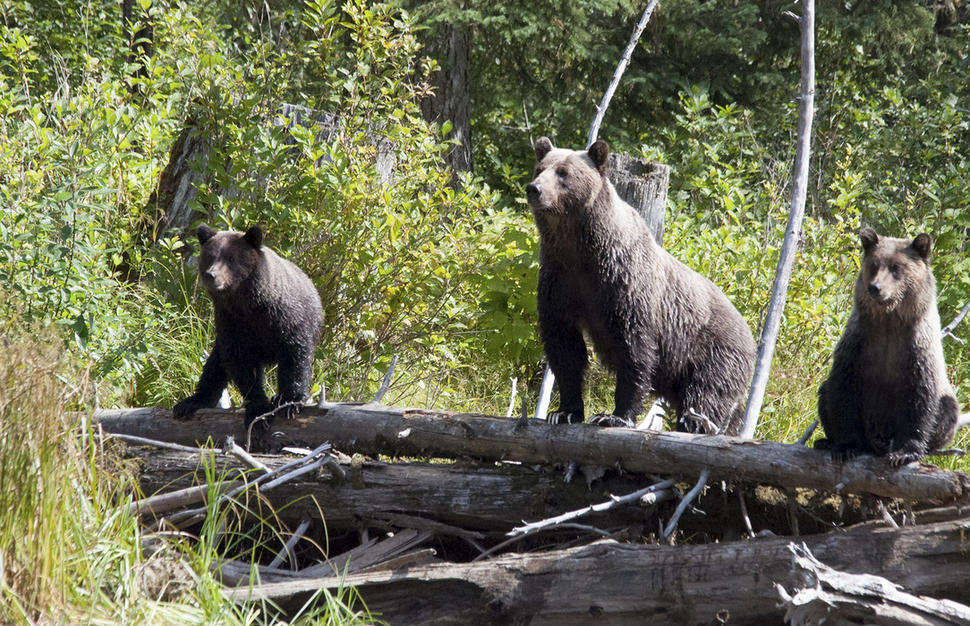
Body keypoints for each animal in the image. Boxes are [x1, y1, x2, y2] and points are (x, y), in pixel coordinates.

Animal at [173, 224, 323, 428]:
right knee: (214, 366)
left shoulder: (285, 319)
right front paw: (259, 410)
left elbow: (295, 355)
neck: (246, 303)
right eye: (210, 256)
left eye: (231, 258)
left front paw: (289, 402)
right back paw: (192, 402)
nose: (211, 275)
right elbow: (242, 364)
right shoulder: (231, 323)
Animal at [525, 137, 756, 434]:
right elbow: (565, 349)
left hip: (714, 353)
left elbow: (634, 350)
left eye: (564, 172)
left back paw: (695, 425)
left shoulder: (626, 286)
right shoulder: (560, 281)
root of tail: (750, 334)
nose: (535, 189)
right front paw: (564, 412)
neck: (581, 251)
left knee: (706, 396)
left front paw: (614, 416)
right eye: (540, 168)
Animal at [815, 227, 959, 465]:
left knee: (948, 410)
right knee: (825, 391)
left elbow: (919, 397)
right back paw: (827, 441)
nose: (876, 287)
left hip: (946, 401)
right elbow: (841, 389)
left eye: (896, 267)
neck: (889, 321)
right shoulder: (859, 341)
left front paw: (904, 452)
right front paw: (846, 446)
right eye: (874, 265)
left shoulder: (917, 347)